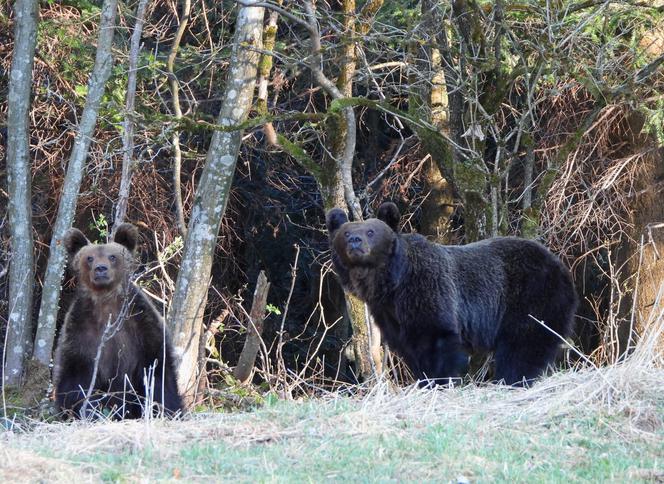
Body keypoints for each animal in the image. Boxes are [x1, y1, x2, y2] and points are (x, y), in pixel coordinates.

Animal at [53, 225, 183, 418]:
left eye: (112, 256)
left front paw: (166, 409)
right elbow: (76, 379)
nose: (100, 269)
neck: (106, 301)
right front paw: (86, 411)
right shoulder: (80, 330)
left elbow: (157, 371)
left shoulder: (141, 323)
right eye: (89, 258)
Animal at [326, 203, 576, 386]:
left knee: (523, 343)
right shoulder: (389, 314)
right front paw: (423, 380)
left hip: (532, 296)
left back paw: (511, 379)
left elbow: (438, 340)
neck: (391, 283)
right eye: (345, 233)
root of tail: (559, 263)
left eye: (371, 231)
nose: (355, 241)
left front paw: (439, 381)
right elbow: (410, 349)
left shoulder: (428, 292)